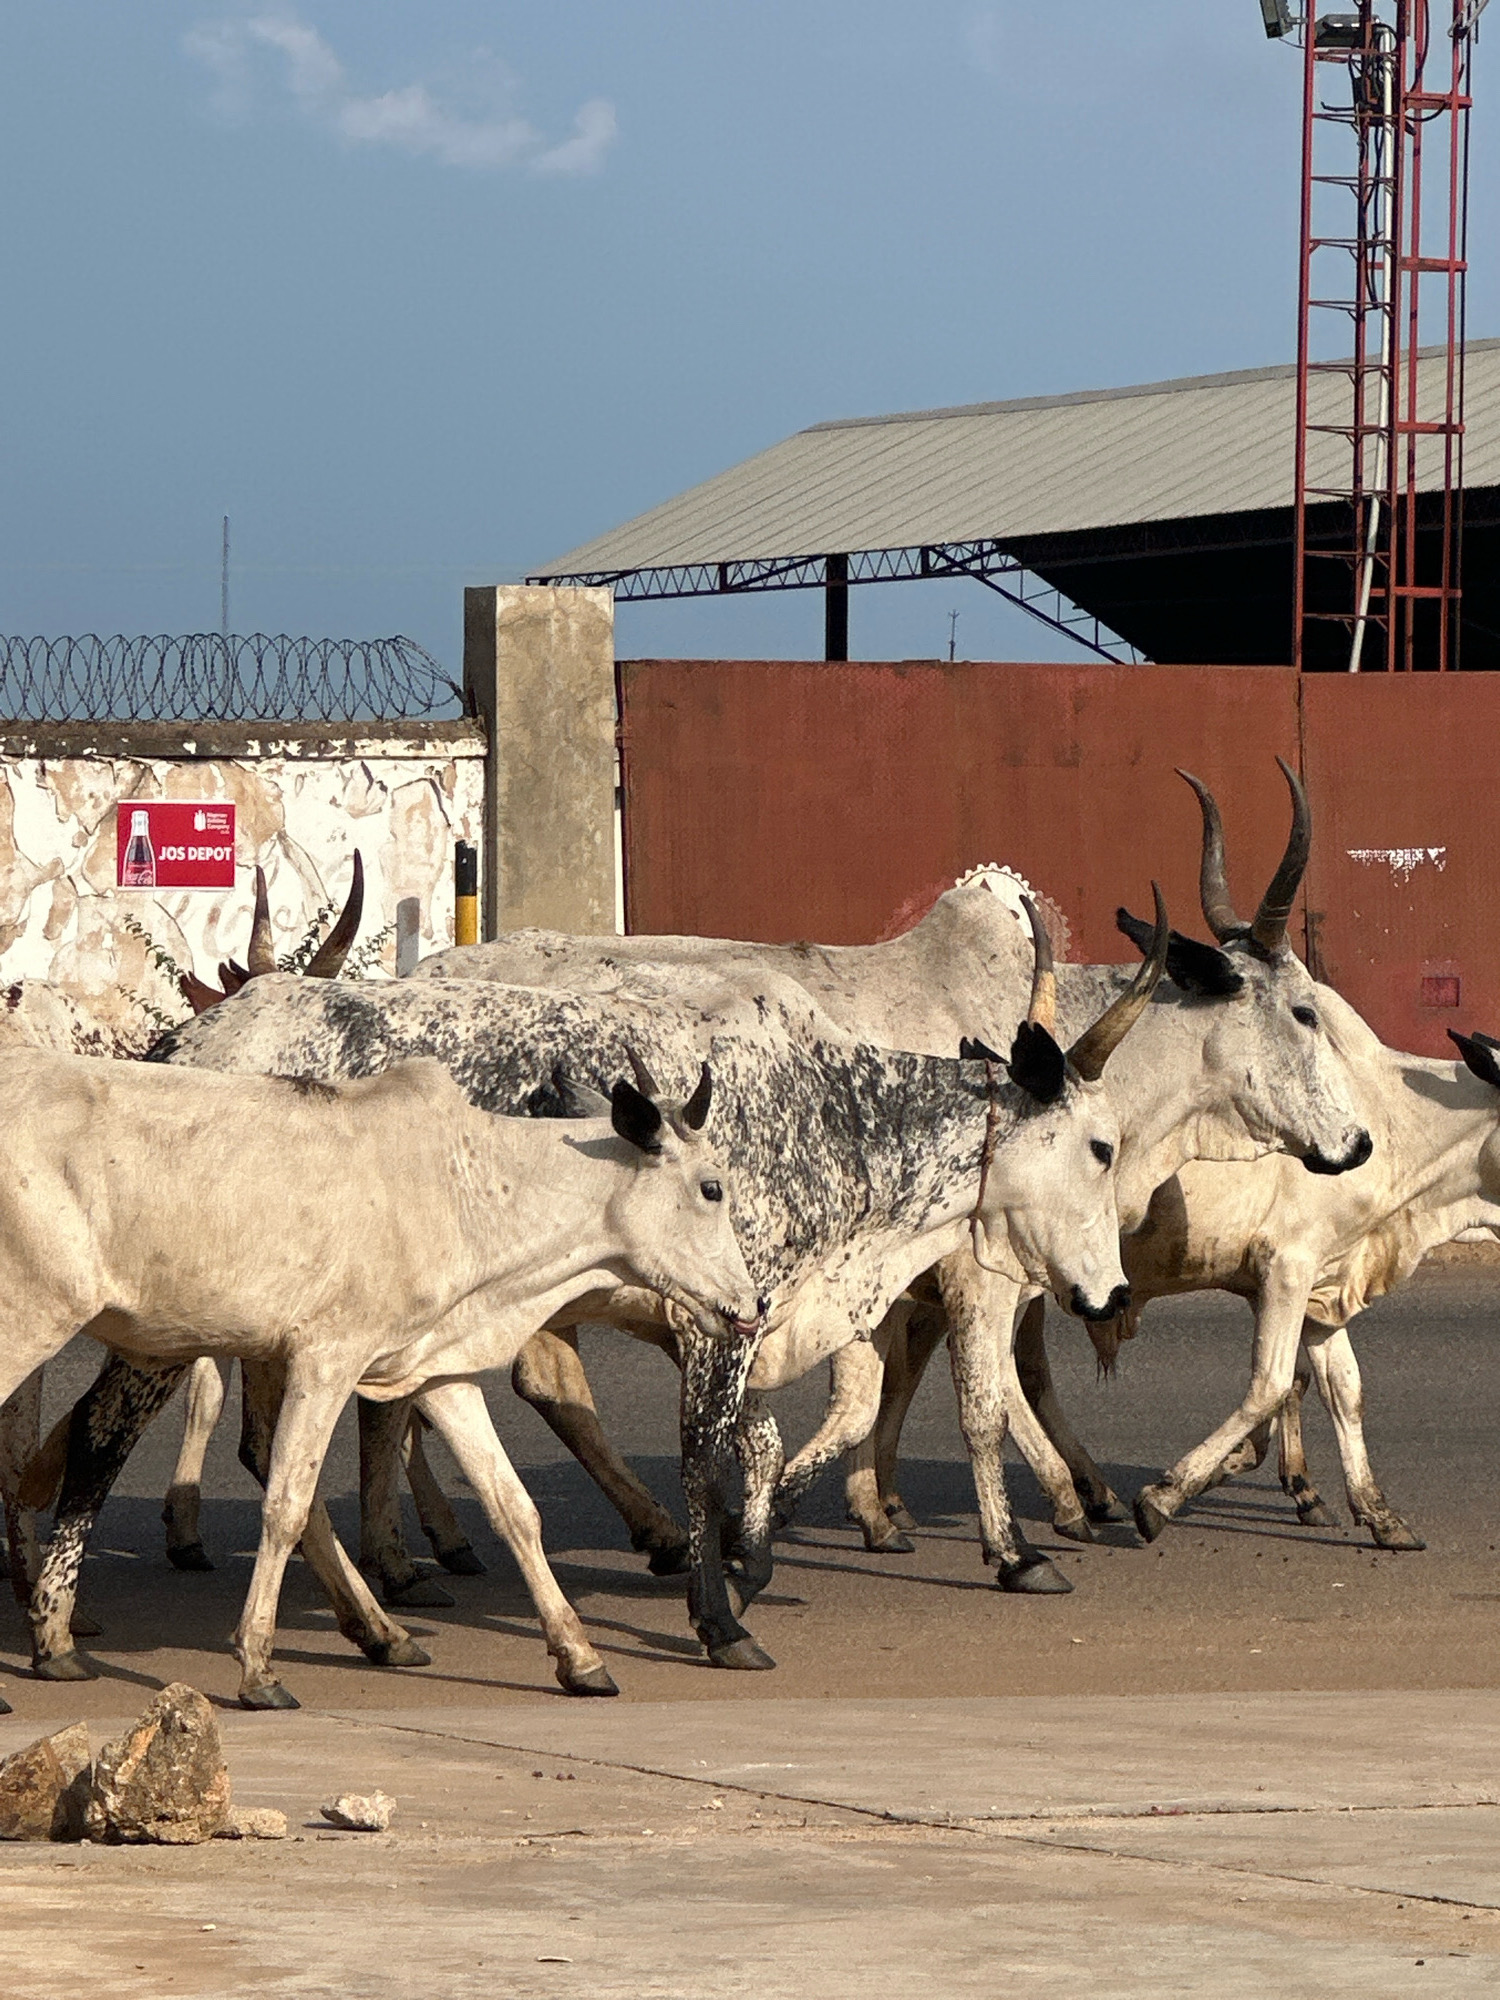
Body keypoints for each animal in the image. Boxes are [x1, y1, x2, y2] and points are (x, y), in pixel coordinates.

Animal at [9, 902, 1165, 1694]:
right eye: (1099, 1145)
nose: (1107, 1290)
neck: (833, 1112)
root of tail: (194, 1037)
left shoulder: (756, 1316)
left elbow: (765, 1444)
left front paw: (744, 1561)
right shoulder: (717, 1320)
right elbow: (710, 1457)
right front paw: (722, 1615)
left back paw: (372, 1619)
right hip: (175, 1317)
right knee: (108, 1432)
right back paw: (59, 1625)